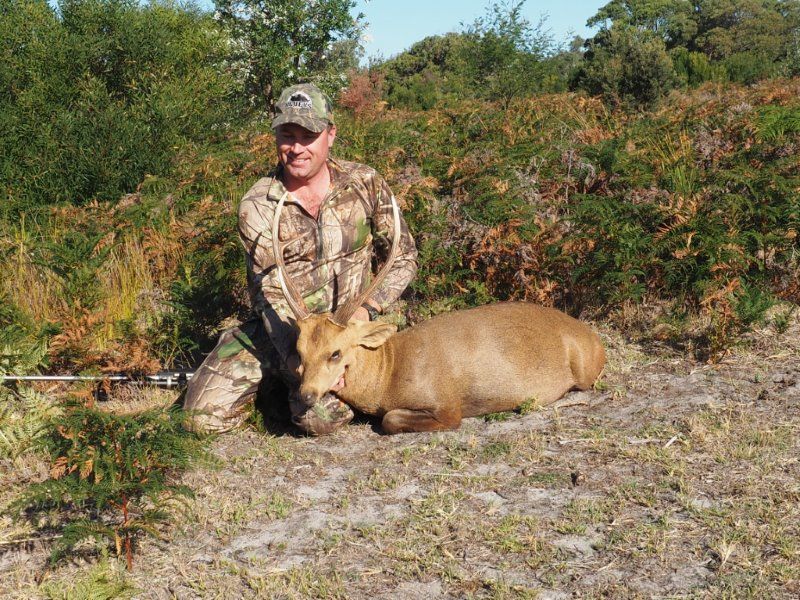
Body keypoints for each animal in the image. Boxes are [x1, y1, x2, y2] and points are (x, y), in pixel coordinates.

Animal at [271, 193, 606, 434]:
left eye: (336, 353)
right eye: (300, 352)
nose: (306, 395)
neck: (388, 376)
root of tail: (593, 337)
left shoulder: (446, 403)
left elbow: (391, 419)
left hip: (585, 371)